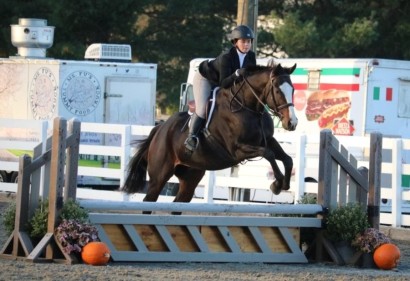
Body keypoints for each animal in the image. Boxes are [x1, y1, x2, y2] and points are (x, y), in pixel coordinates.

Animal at [121, 63, 298, 203]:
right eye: (277, 90)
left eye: (293, 90)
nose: (292, 123)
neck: (249, 108)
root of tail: (160, 128)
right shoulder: (238, 150)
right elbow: (268, 154)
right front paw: (277, 184)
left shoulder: (268, 140)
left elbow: (287, 159)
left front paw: (284, 184)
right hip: (159, 176)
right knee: (149, 199)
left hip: (190, 176)